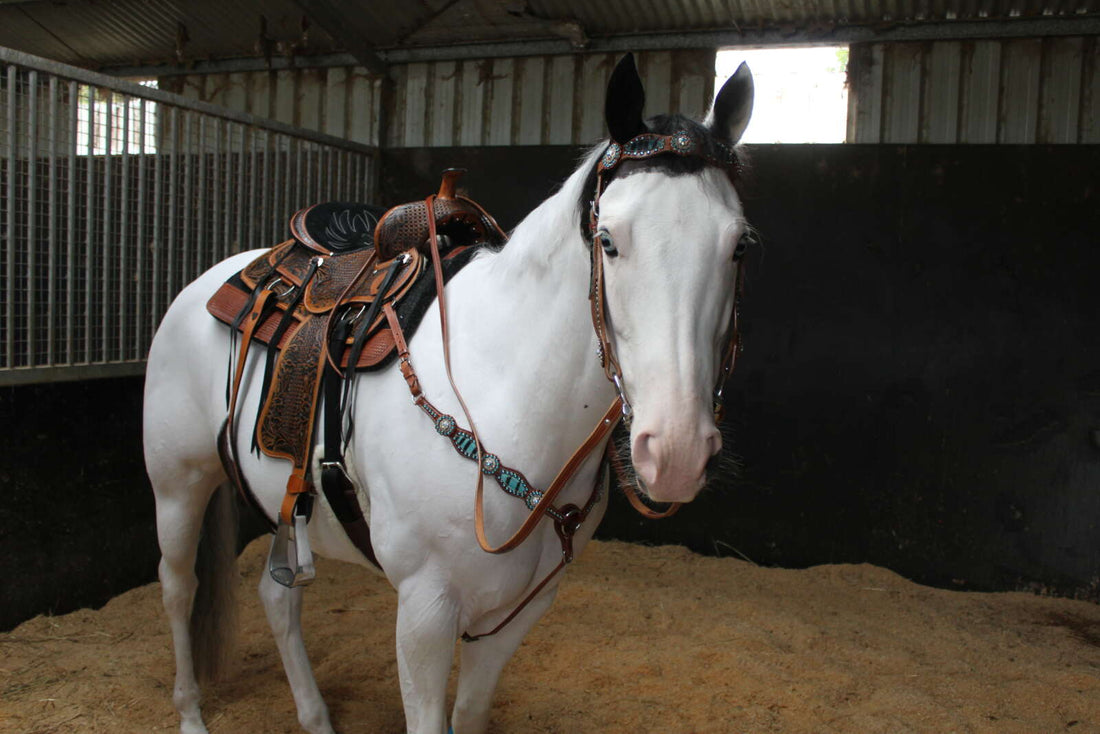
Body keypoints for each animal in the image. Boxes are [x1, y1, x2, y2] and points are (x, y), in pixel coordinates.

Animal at [144, 53, 756, 734]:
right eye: (609, 241)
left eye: (739, 246)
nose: (675, 453)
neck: (504, 393)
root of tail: (210, 281)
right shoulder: (425, 613)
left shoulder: (516, 613)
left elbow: (470, 714)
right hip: (178, 486)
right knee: (177, 589)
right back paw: (190, 713)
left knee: (277, 599)